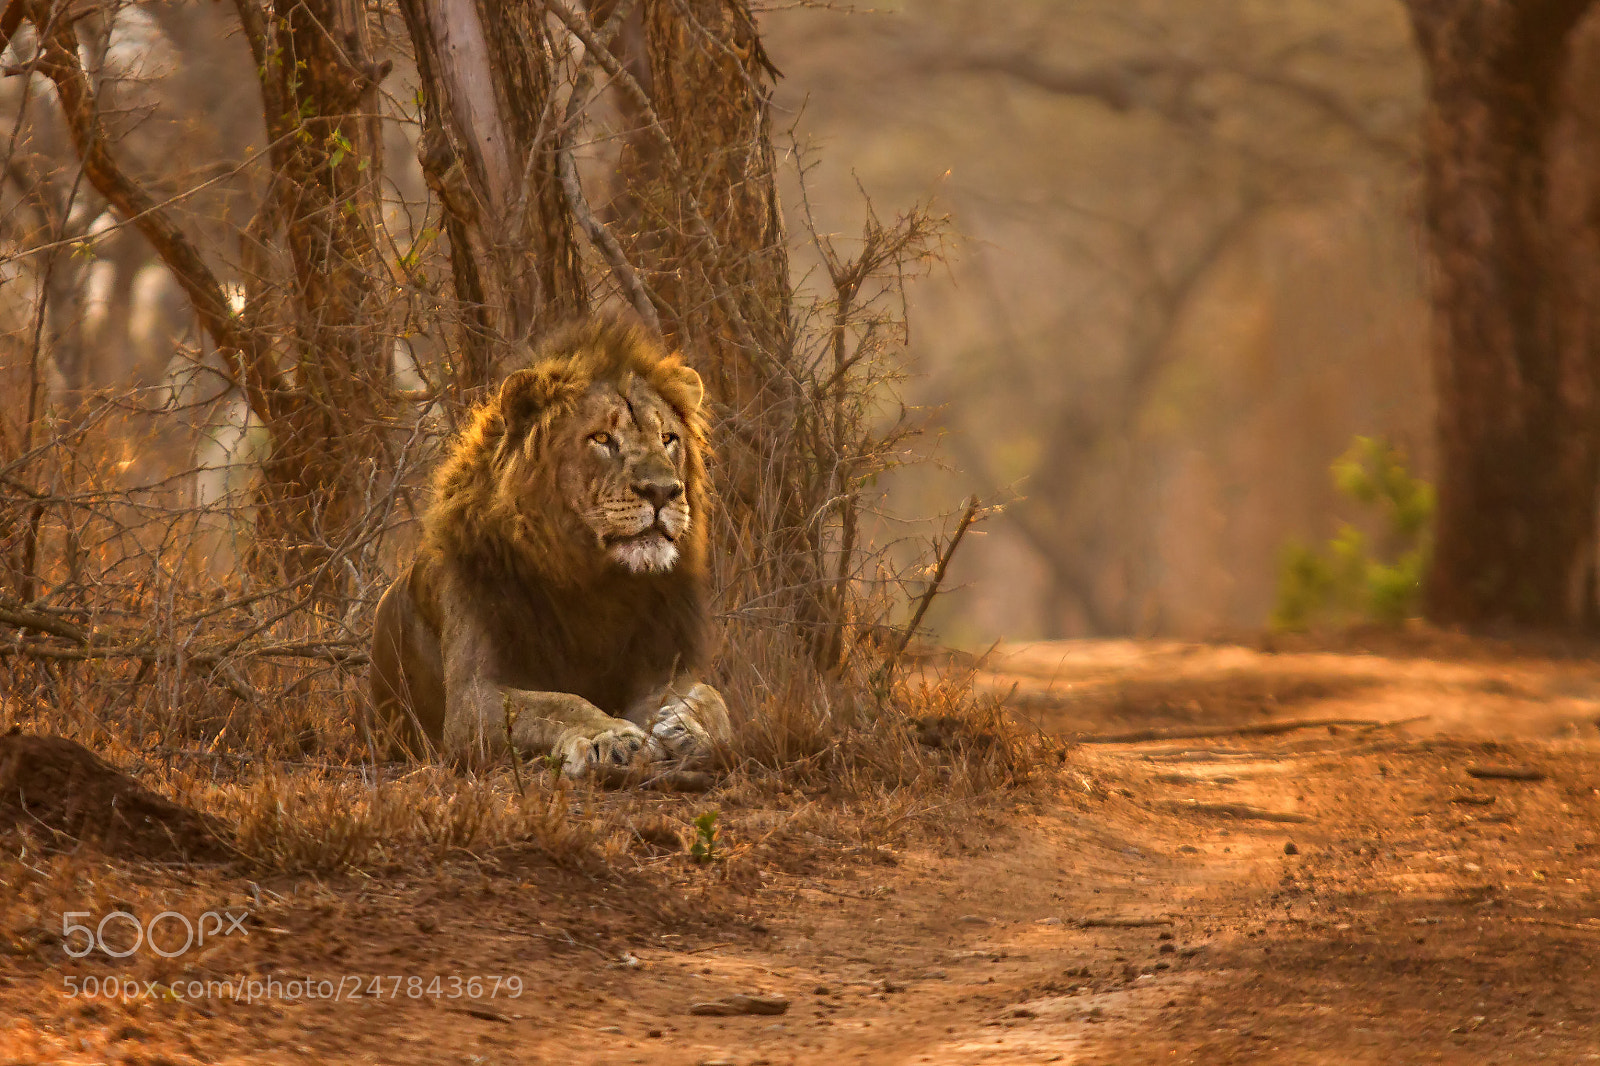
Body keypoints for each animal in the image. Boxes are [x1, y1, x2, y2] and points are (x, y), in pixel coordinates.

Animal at [367, 319, 731, 777]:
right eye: (601, 438)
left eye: (668, 438)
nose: (664, 491)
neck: (598, 583)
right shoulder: (473, 699)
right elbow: (561, 703)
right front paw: (612, 736)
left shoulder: (662, 666)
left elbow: (711, 698)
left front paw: (685, 726)